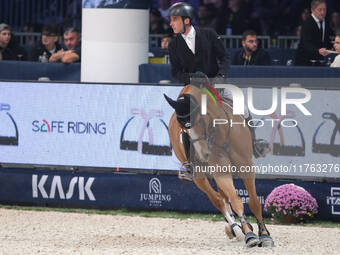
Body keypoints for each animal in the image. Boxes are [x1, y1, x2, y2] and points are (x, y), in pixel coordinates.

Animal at [164, 84, 274, 248]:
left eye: (200, 121)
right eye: (183, 128)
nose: (203, 154)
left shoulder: (245, 164)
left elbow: (254, 202)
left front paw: (265, 235)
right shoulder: (219, 169)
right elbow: (235, 200)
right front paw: (249, 234)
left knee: (223, 197)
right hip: (200, 176)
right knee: (218, 200)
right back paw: (236, 229)